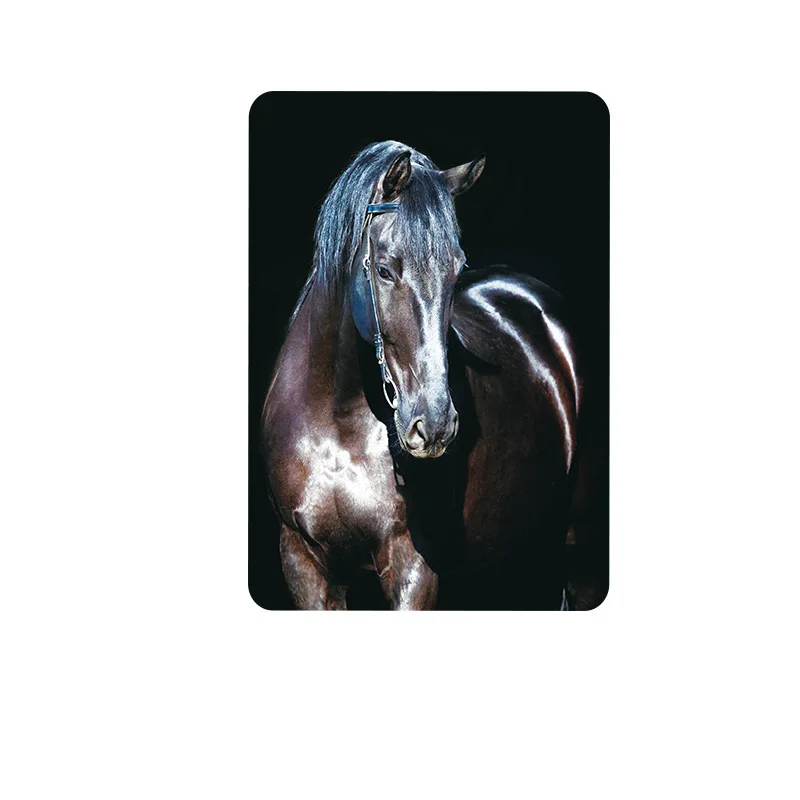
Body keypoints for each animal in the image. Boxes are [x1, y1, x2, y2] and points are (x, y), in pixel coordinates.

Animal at [260, 141, 582, 610]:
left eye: (457, 268)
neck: (336, 424)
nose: (434, 426)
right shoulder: (302, 562)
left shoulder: (412, 565)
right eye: (384, 270)